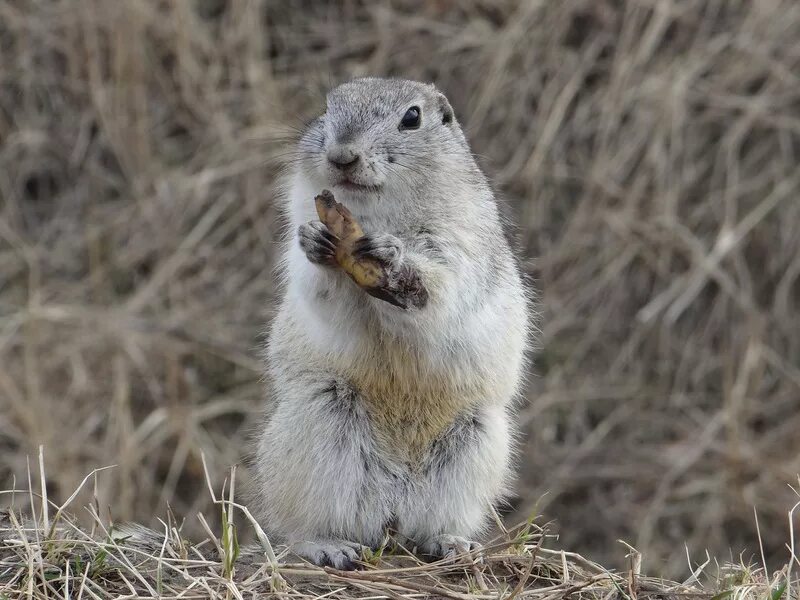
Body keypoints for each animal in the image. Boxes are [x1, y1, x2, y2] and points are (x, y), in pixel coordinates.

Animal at [252, 77, 532, 568]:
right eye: (327, 107)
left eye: (412, 118)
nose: (342, 156)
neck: (374, 214)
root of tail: (392, 512)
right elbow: (319, 289)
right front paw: (318, 240)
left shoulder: (456, 245)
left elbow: (439, 287)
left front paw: (392, 259)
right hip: (315, 429)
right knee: (302, 529)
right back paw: (329, 546)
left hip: (476, 445)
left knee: (431, 525)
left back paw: (451, 544)